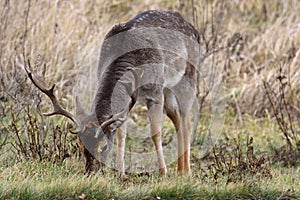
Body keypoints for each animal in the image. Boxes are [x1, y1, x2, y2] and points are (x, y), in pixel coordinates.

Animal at [24, 10, 200, 177]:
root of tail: (192, 27)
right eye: (80, 145)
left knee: (187, 120)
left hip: (188, 76)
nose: (89, 172)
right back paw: (180, 169)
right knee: (177, 117)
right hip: (168, 88)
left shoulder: (155, 91)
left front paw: (163, 173)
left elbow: (155, 133)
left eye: (103, 147)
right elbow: (121, 135)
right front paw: (121, 173)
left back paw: (186, 171)